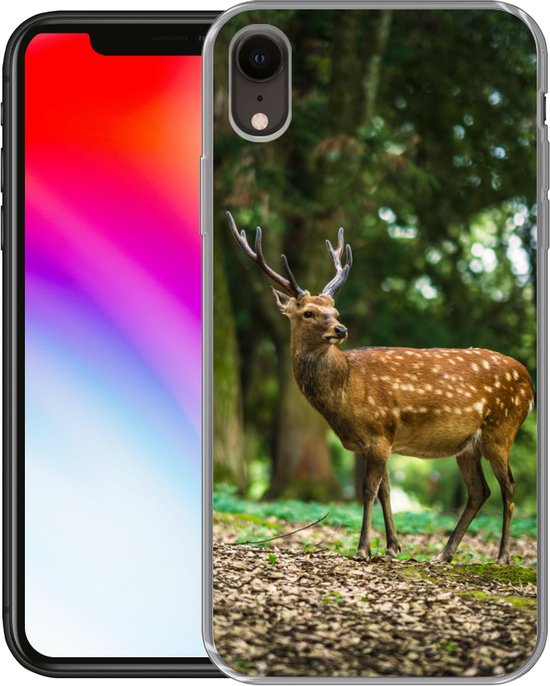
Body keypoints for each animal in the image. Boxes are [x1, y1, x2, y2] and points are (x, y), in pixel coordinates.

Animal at [226, 212, 534, 565]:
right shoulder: (381, 438)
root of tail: (529, 383)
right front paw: (392, 547)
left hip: (501, 428)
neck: (344, 391)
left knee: (509, 486)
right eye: (308, 312)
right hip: (468, 444)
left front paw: (363, 549)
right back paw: (444, 554)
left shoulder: (377, 431)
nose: (341, 329)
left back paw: (502, 556)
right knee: (479, 490)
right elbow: (386, 491)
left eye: (336, 311)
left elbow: (368, 490)